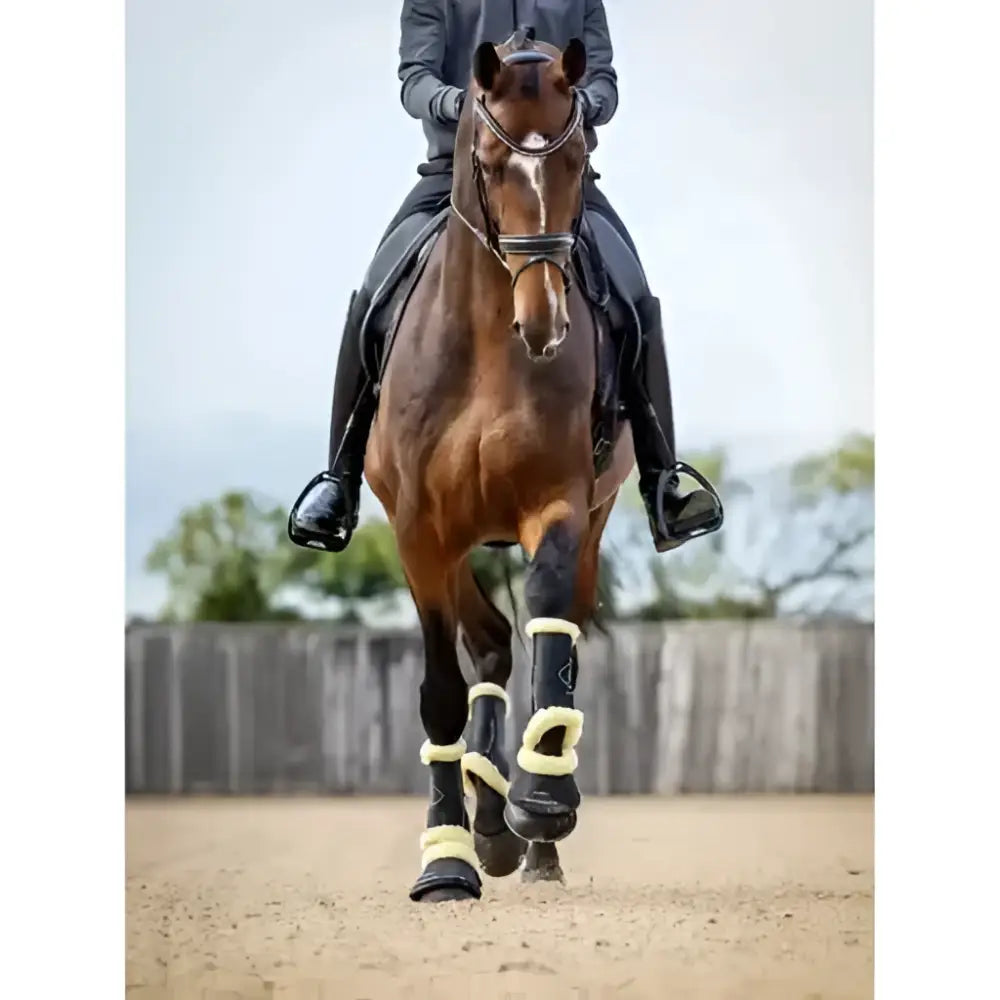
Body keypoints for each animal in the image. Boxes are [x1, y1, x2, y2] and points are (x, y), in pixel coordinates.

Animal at [364, 33, 635, 902]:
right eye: (486, 161)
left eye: (578, 157)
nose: (543, 322)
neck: (487, 345)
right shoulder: (420, 531)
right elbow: (440, 692)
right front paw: (445, 860)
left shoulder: (558, 504)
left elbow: (550, 615)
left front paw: (542, 803)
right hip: (446, 540)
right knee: (484, 642)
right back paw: (483, 826)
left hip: (593, 519)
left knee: (541, 627)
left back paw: (528, 838)